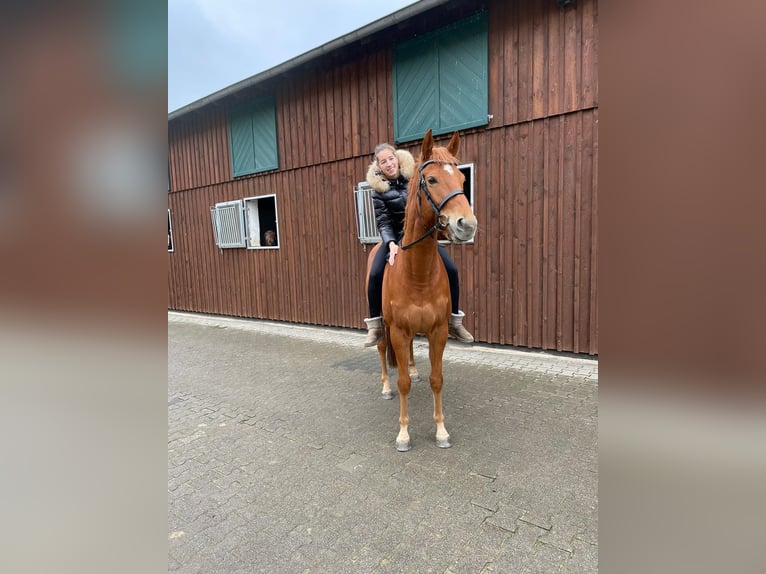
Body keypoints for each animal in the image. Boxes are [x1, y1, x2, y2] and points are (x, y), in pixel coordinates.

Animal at [368, 130, 476, 454]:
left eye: (462, 180)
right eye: (432, 180)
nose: (467, 225)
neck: (417, 274)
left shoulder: (437, 331)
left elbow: (436, 379)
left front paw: (441, 431)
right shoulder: (399, 330)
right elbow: (402, 382)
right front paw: (403, 434)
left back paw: (414, 370)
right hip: (385, 326)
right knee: (382, 349)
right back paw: (385, 387)